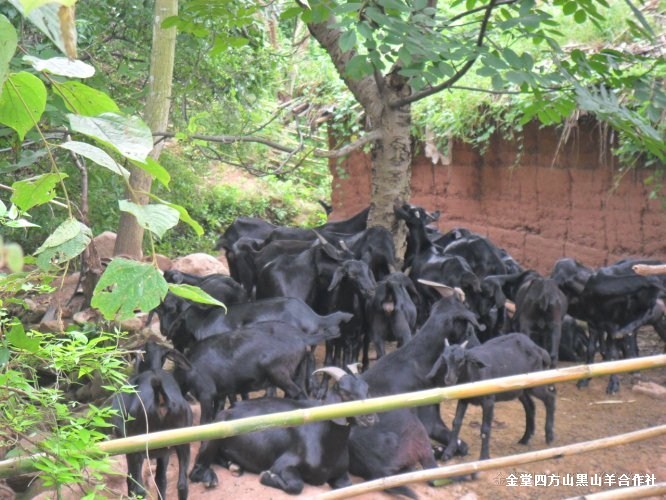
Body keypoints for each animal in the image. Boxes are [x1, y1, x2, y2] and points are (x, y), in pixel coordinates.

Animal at [111, 342, 192, 500]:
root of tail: (159, 394)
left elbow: (130, 480)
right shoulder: (164, 453)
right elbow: (161, 481)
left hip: (138, 445)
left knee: (139, 488)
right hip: (181, 441)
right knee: (182, 484)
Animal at [189, 366, 376, 494]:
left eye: (367, 389)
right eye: (344, 393)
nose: (371, 418)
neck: (328, 446)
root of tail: (230, 408)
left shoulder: (342, 473)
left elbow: (347, 485)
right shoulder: (283, 463)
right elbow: (296, 485)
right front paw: (267, 476)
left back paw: (234, 466)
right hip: (214, 436)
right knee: (196, 469)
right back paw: (210, 478)